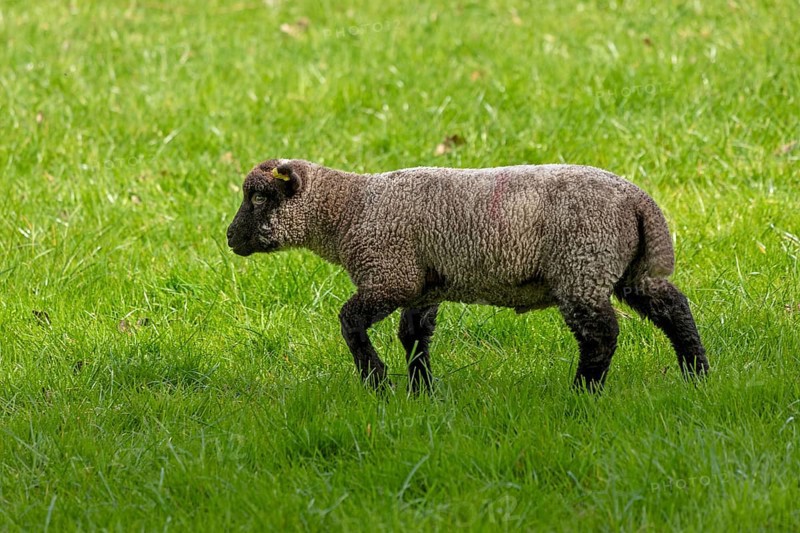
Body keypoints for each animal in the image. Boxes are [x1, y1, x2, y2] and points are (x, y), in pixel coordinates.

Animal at [226, 158, 709, 393]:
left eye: (259, 197)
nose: (229, 237)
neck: (348, 210)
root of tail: (639, 201)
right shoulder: (423, 287)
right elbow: (414, 336)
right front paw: (421, 391)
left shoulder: (391, 274)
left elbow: (350, 321)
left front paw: (376, 381)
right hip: (628, 268)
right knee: (673, 307)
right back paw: (697, 373)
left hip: (582, 265)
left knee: (601, 335)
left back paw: (582, 394)